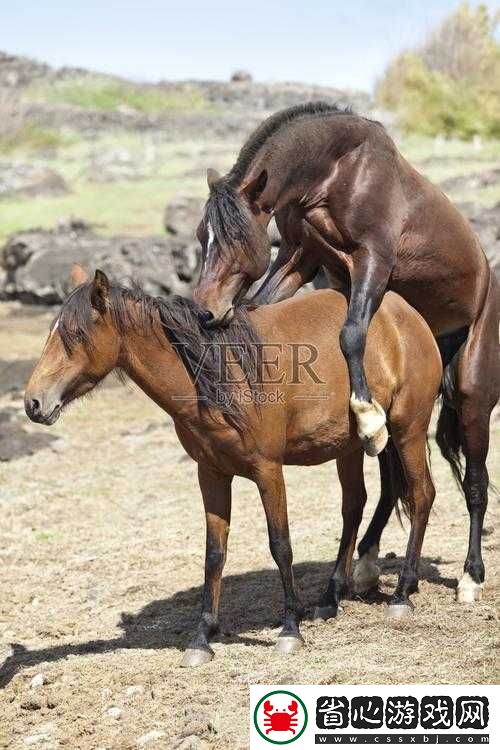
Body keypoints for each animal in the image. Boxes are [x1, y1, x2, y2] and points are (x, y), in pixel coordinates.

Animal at [26, 268, 442, 668]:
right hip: (349, 446)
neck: (221, 376)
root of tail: (405, 314)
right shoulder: (210, 474)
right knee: (354, 506)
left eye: (74, 335)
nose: (33, 403)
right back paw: (331, 598)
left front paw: (289, 630)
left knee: (422, 494)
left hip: (408, 429)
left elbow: (280, 545)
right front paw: (202, 638)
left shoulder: (268, 471)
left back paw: (402, 594)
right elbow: (214, 554)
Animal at [192, 101, 500, 604]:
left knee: (474, 485)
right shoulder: (300, 257)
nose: (205, 311)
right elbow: (263, 306)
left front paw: (366, 414)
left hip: (473, 398)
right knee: (395, 484)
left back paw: (471, 577)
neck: (336, 171)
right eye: (203, 236)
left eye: (235, 238)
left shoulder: (374, 259)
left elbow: (352, 333)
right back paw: (368, 562)